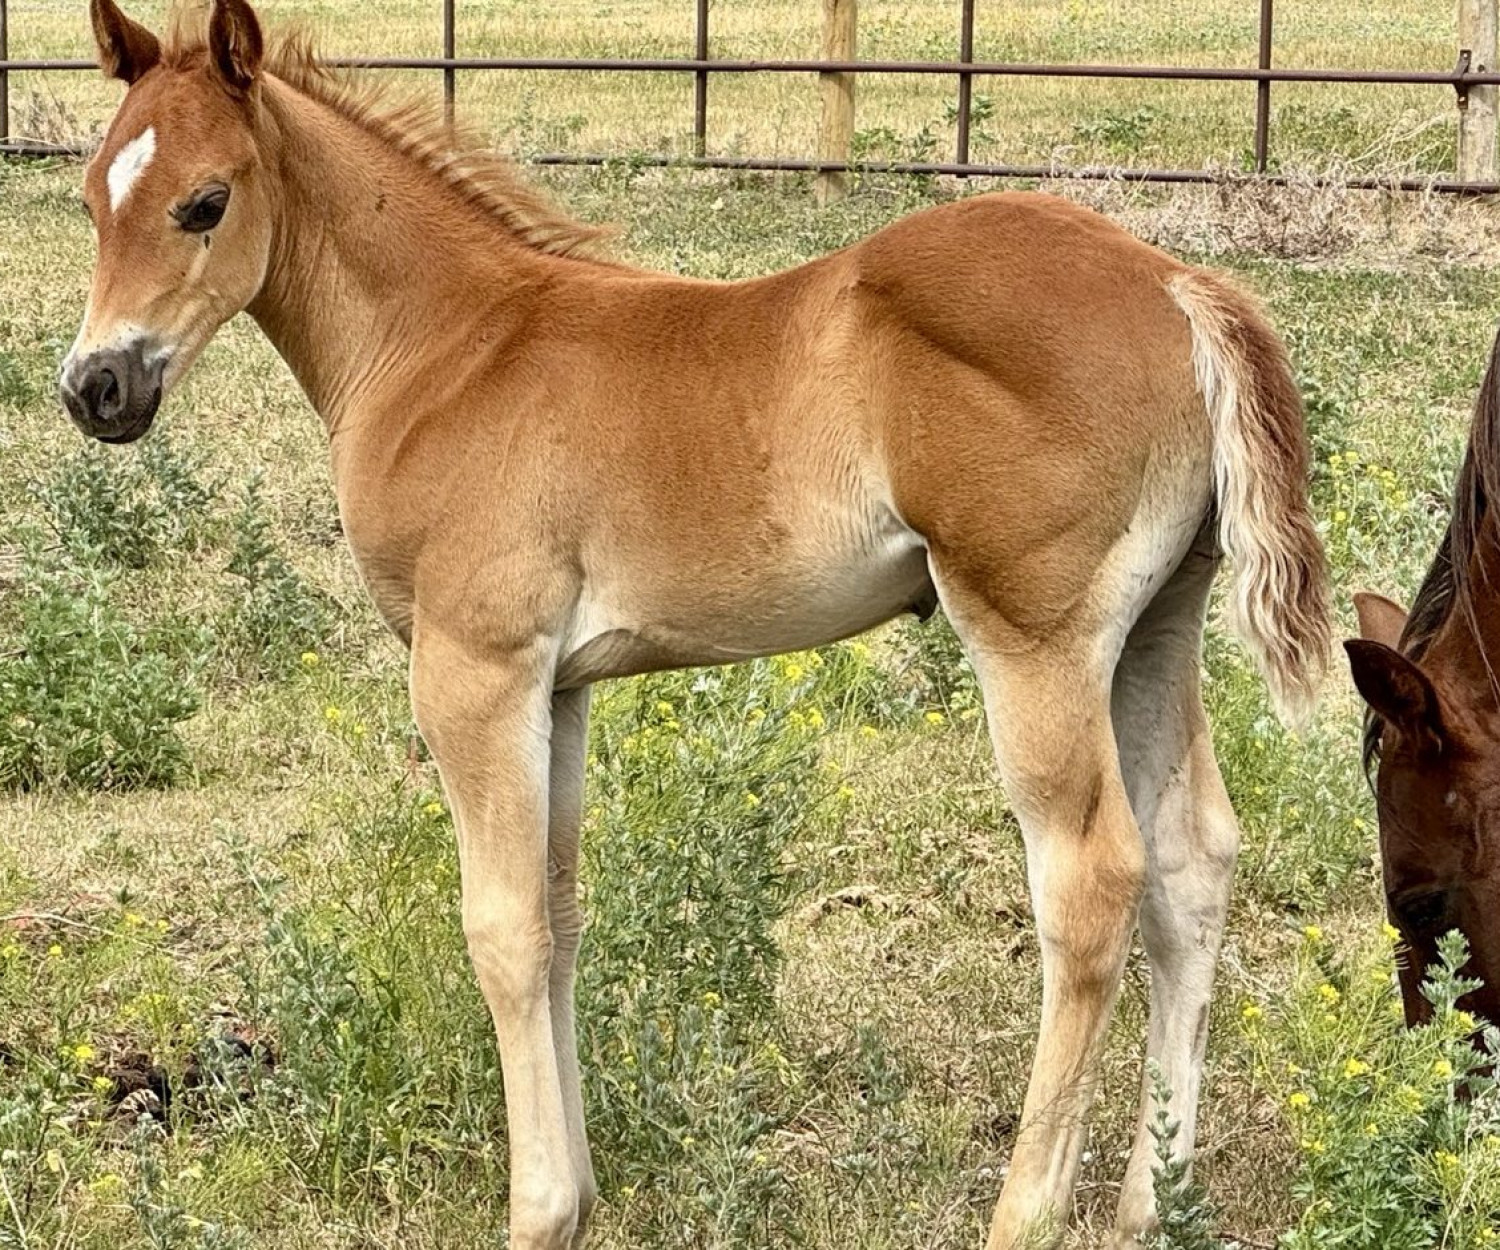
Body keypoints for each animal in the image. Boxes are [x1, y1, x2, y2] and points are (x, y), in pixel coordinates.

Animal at [60, 1, 1330, 1245]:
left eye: (204, 201)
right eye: (89, 195)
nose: (94, 386)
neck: (453, 349)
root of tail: (1177, 284)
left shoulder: (475, 667)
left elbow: (504, 928)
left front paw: (538, 1209)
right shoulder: (560, 683)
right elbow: (562, 913)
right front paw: (578, 1192)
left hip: (1033, 635)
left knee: (1093, 877)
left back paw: (1025, 1208)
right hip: (1155, 627)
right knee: (1193, 860)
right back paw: (1157, 1198)